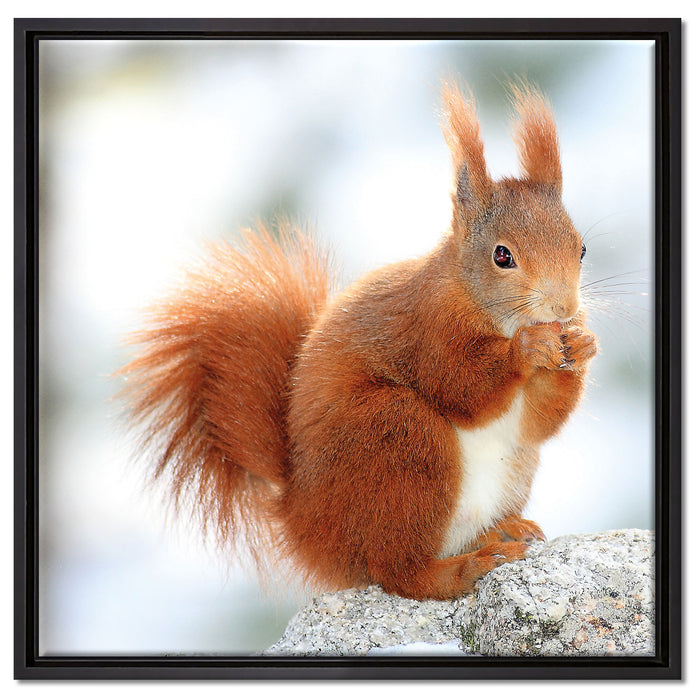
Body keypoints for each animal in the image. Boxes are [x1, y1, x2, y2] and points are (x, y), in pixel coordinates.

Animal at [119, 80, 597, 601]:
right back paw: (465, 567)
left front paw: (583, 345)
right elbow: (462, 387)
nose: (564, 308)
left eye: (581, 248)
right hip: (397, 439)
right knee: (400, 571)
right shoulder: (427, 329)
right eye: (502, 255)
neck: (485, 307)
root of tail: (303, 524)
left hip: (505, 469)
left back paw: (502, 530)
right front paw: (526, 350)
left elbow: (538, 423)